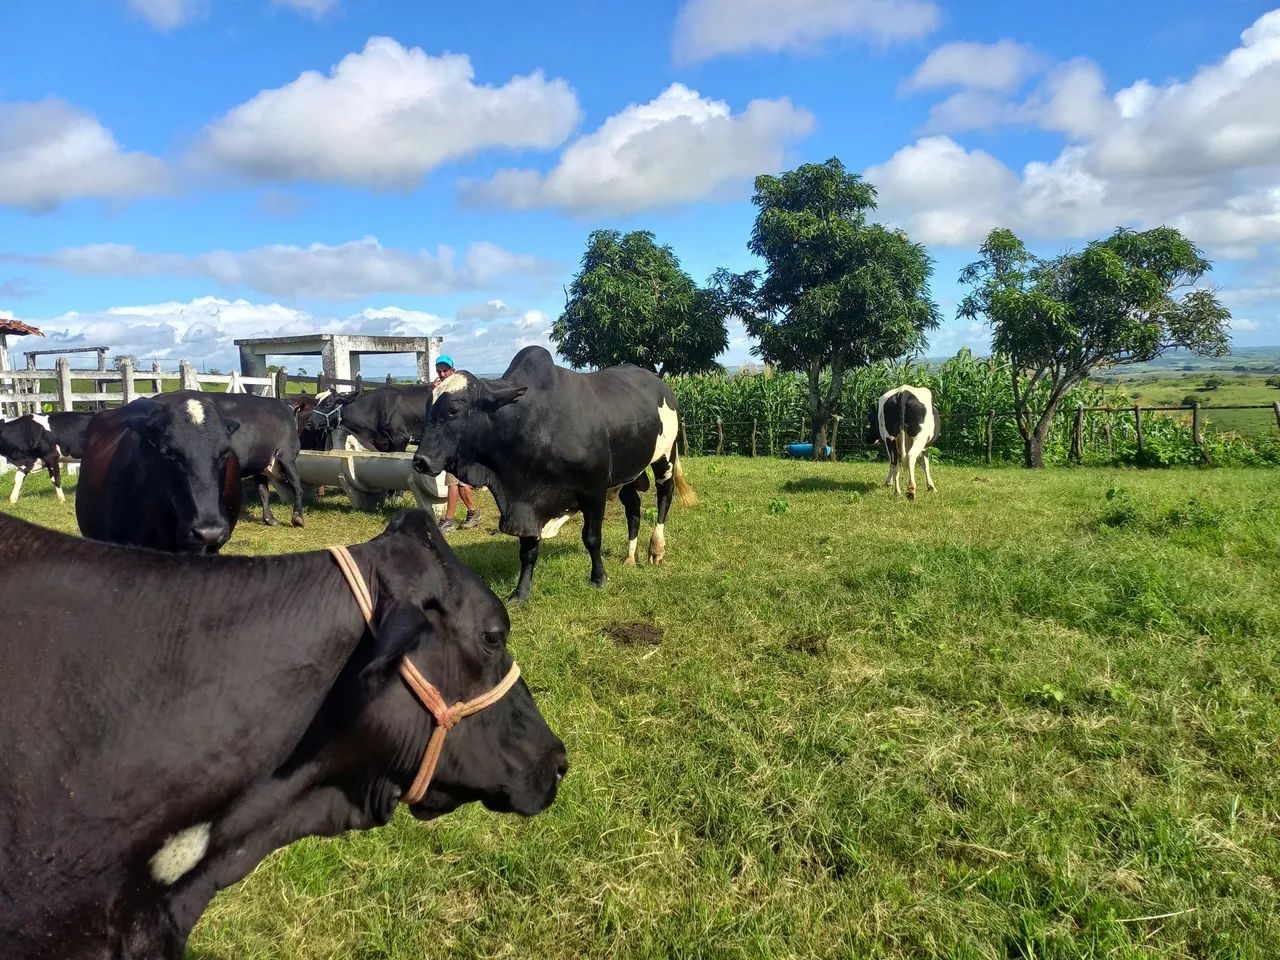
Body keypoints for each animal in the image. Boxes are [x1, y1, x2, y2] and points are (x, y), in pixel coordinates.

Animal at [153, 390, 306, 528]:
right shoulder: (287, 457)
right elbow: (297, 486)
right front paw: (298, 519)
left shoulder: (258, 463)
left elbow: (263, 492)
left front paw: (270, 519)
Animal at [412, 346, 697, 602]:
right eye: (427, 409)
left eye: (454, 410)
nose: (420, 461)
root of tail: (661, 385)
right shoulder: (526, 500)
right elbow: (528, 549)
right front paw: (521, 593)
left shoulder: (593, 491)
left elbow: (592, 537)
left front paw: (599, 578)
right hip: (628, 473)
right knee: (634, 509)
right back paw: (629, 557)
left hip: (665, 457)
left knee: (664, 497)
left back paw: (656, 548)